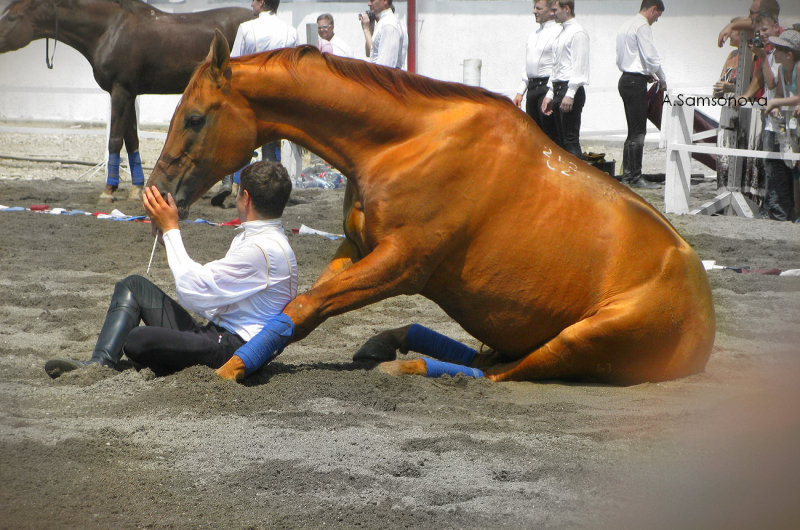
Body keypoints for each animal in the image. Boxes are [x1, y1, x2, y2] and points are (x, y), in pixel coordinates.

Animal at [0, 0, 252, 200]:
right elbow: (131, 140)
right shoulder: (129, 93)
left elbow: (114, 139)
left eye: (11, 16)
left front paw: (108, 191)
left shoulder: (120, 91)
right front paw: (136, 189)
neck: (109, 30)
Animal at [147, 34, 716, 384]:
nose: (158, 193)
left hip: (584, 337)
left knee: (499, 372)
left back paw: (411, 367)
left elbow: (306, 306)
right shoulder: (359, 248)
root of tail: (703, 325)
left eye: (194, 117)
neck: (408, 143)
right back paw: (392, 345)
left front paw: (232, 367)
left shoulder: (401, 264)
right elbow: (302, 303)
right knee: (487, 355)